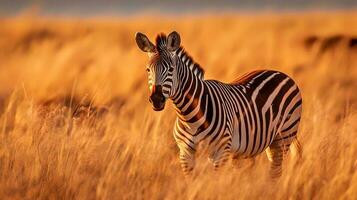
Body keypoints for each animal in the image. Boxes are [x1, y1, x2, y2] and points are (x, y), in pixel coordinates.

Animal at [135, 30, 302, 177]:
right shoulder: (185, 153)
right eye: (147, 70)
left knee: (275, 173)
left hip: (284, 136)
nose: (156, 99)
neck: (189, 116)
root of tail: (281, 73)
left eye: (171, 69)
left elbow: (214, 181)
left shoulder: (220, 152)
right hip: (253, 146)